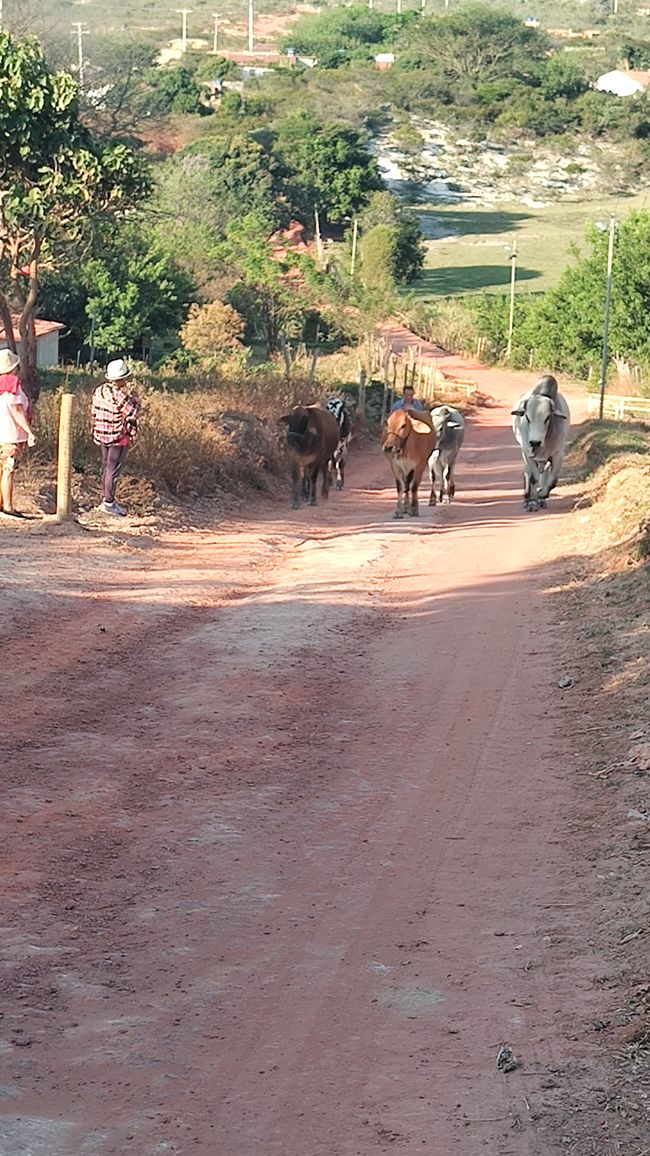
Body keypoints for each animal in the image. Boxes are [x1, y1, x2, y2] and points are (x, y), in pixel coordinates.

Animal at [511, 374, 566, 510]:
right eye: (527, 417)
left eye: (547, 417)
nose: (535, 442)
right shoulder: (528, 453)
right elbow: (533, 478)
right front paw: (532, 501)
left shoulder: (558, 454)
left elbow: (552, 480)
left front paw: (542, 494)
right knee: (528, 473)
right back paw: (528, 498)